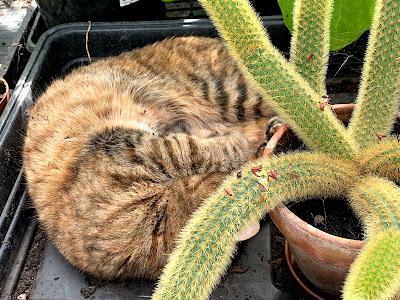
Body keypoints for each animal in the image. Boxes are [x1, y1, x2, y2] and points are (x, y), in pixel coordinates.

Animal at [23, 36, 282, 280]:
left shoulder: (133, 145)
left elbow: (190, 148)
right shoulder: (137, 148)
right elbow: (192, 151)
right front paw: (237, 144)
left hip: (234, 93)